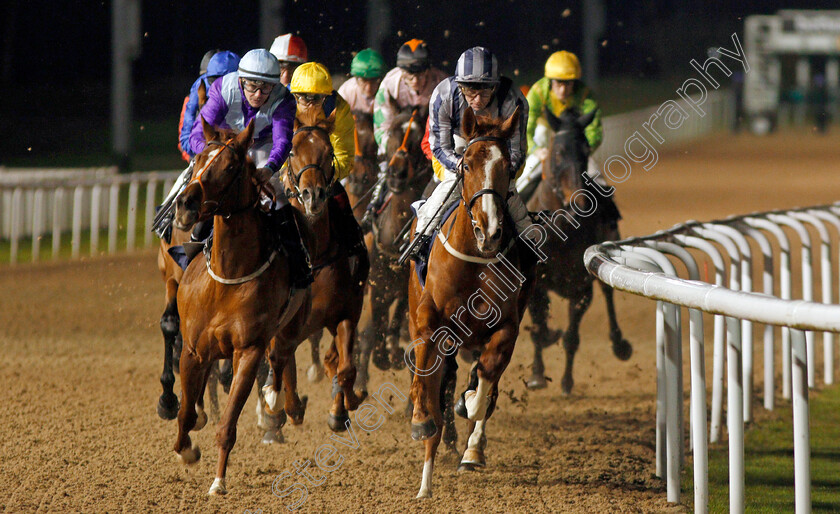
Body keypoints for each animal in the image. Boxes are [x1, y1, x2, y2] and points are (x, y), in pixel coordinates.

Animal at [171, 119, 308, 492]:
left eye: (231, 167)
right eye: (199, 158)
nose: (185, 204)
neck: (228, 277)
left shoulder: (248, 350)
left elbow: (228, 424)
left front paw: (218, 481)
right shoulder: (193, 349)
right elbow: (185, 412)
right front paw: (187, 450)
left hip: (291, 325)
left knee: (282, 357)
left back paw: (281, 401)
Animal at [262, 109, 368, 432]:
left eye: (328, 151)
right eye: (292, 151)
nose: (313, 195)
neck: (316, 254)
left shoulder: (347, 311)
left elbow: (345, 367)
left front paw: (344, 406)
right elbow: (281, 360)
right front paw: (287, 408)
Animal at [356, 101, 434, 388]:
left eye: (414, 141)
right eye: (388, 136)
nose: (395, 174)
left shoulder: (405, 285)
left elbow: (396, 318)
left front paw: (391, 352)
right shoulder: (376, 283)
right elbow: (373, 325)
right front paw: (379, 358)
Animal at [406, 105, 536, 496]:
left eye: (507, 166)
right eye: (466, 165)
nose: (489, 230)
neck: (474, 260)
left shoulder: (506, 328)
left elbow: (483, 388)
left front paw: (469, 414)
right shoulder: (428, 318)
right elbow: (425, 374)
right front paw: (421, 419)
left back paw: (469, 449)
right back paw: (425, 482)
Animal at [524, 106, 632, 390]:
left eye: (585, 151)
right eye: (558, 152)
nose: (580, 202)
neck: (561, 229)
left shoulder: (581, 286)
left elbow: (571, 336)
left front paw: (566, 381)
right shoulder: (535, 284)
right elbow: (539, 327)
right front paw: (537, 374)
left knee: (608, 292)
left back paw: (620, 344)